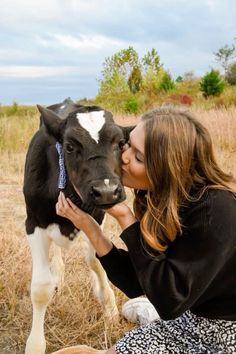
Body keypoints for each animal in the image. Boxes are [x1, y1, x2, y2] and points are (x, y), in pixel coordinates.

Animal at [23, 98, 131, 354]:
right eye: (70, 146)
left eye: (120, 143)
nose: (106, 190)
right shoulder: (33, 222)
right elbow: (40, 288)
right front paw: (35, 344)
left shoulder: (98, 215)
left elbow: (96, 261)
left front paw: (109, 308)